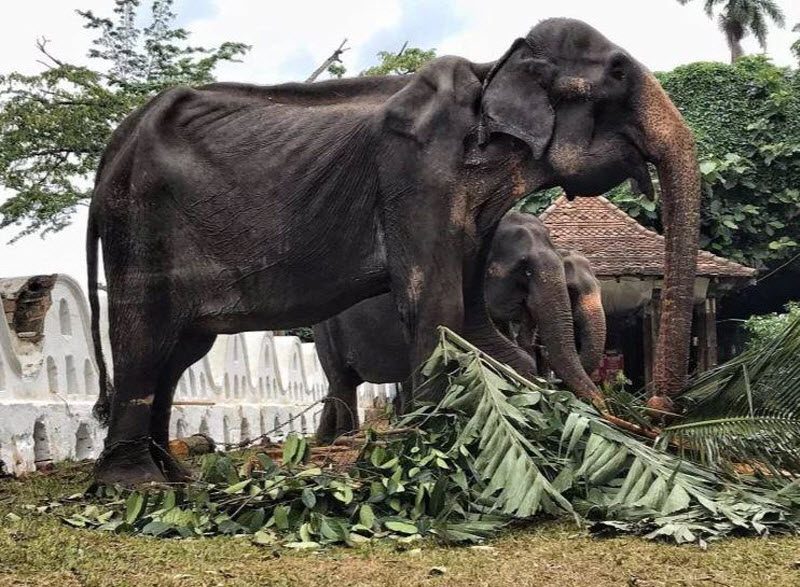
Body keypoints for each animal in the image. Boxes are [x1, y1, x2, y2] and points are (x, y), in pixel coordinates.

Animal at [314, 211, 607, 442]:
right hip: (325, 332)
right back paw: (346, 439)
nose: (606, 411)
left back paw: (325, 441)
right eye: (524, 269)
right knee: (343, 382)